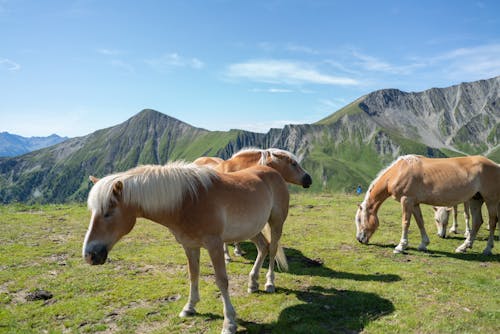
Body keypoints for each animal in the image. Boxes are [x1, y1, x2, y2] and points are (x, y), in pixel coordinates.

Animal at [82, 162, 292, 334]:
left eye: (108, 212)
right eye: (93, 212)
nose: (90, 255)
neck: (187, 201)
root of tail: (273, 172)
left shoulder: (215, 245)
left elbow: (222, 281)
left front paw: (229, 323)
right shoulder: (189, 246)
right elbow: (193, 274)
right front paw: (189, 307)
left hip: (276, 223)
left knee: (272, 249)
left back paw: (269, 283)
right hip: (251, 229)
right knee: (263, 247)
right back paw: (253, 282)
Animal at [356, 155, 500, 254]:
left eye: (359, 219)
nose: (359, 239)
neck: (399, 171)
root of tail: (496, 165)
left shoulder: (406, 200)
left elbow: (405, 222)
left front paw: (401, 246)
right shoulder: (414, 203)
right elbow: (420, 222)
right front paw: (423, 244)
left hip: (491, 200)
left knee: (492, 222)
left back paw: (487, 248)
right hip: (475, 199)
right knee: (477, 222)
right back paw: (464, 246)